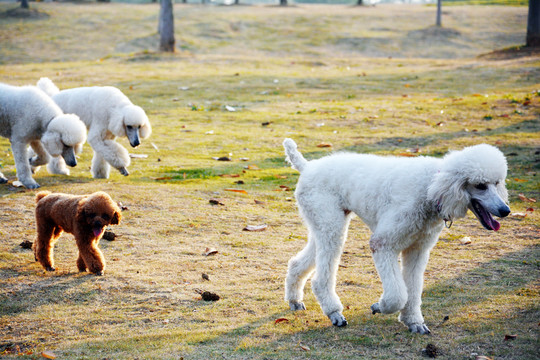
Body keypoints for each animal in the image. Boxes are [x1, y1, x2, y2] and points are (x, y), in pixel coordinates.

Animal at [282, 139, 510, 334]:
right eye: (480, 185)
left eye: (497, 182)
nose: (505, 210)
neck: (431, 186)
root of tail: (308, 166)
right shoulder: (383, 244)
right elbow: (398, 295)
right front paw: (380, 306)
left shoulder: (417, 250)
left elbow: (413, 289)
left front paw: (414, 322)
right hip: (330, 225)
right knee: (321, 278)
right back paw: (334, 313)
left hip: (325, 225)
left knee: (298, 262)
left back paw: (294, 300)